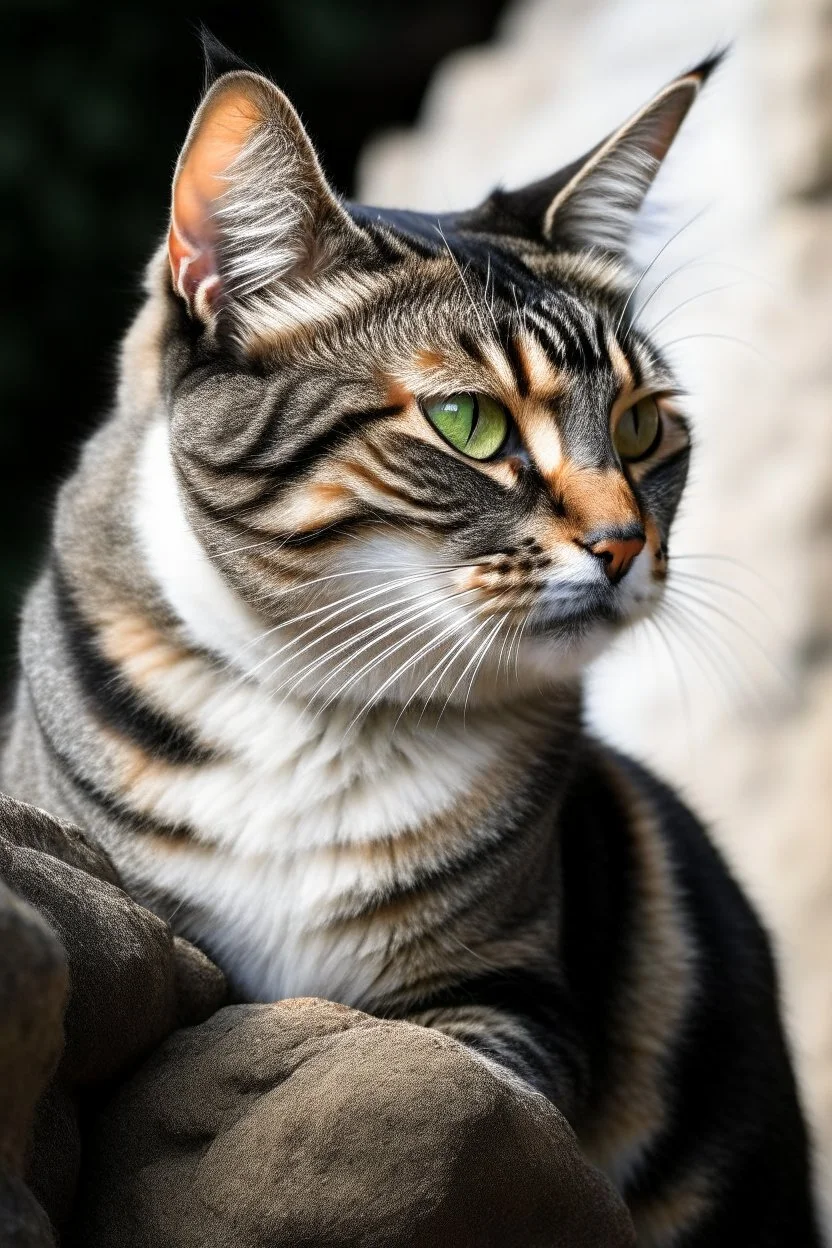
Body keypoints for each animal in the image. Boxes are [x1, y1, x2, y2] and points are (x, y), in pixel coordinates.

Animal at [0, 43, 818, 1243]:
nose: (626, 543)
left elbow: (442, 1089)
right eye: (468, 423)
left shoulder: (508, 990)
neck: (319, 707)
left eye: (640, 427)